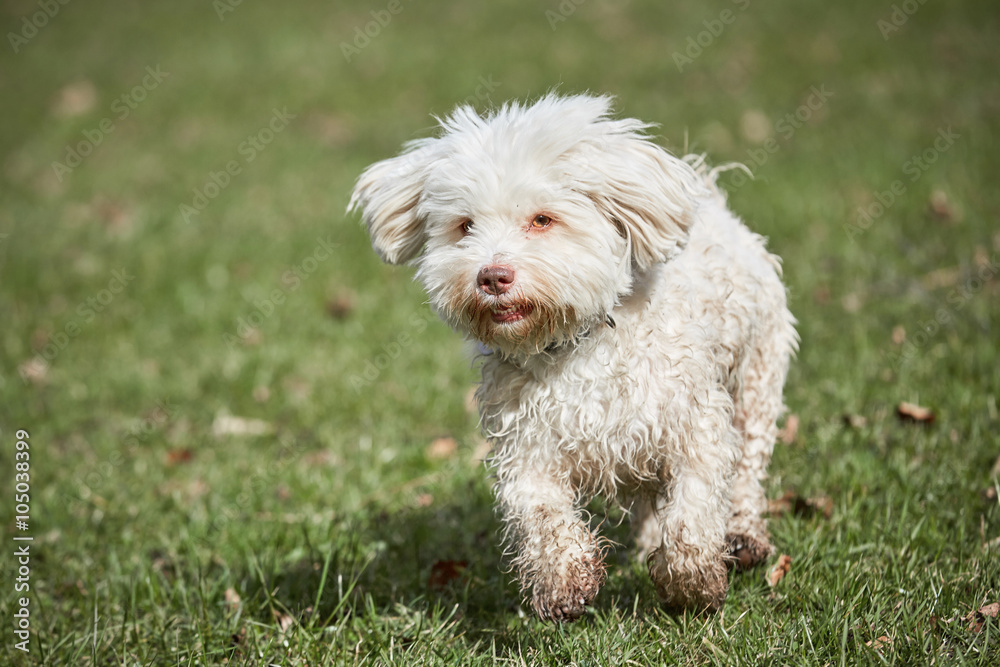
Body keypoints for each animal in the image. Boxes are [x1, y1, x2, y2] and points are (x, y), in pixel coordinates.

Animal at [352, 92, 796, 620]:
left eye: (542, 220)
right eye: (465, 227)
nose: (492, 276)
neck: (573, 344)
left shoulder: (696, 425)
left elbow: (693, 507)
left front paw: (692, 583)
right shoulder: (526, 444)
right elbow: (539, 509)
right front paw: (564, 581)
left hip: (757, 376)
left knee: (747, 464)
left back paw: (743, 537)